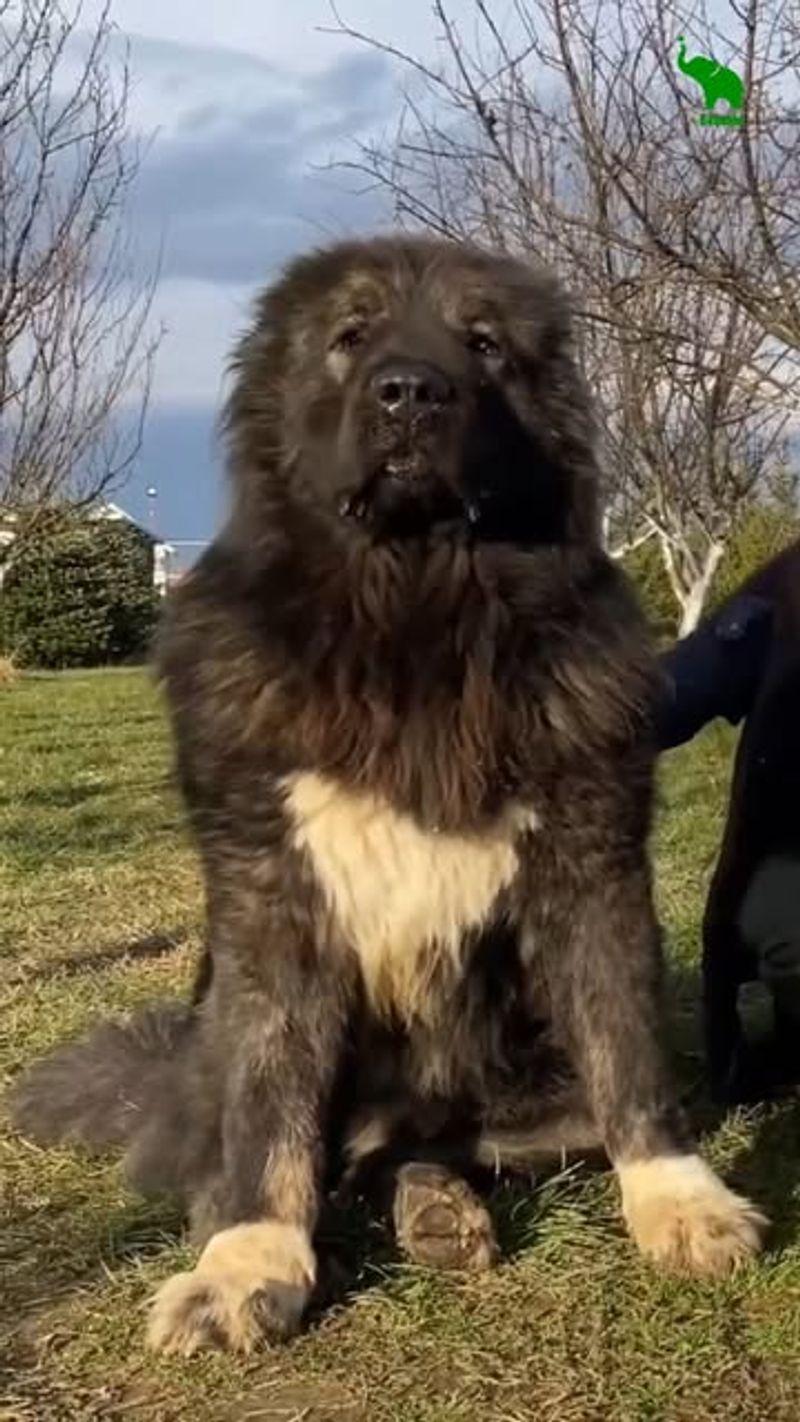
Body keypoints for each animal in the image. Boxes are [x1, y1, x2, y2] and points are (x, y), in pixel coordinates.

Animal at [9, 233, 767, 1353]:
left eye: (483, 344)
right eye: (350, 336)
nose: (410, 391)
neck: (414, 612)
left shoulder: (591, 868)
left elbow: (628, 1054)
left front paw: (681, 1204)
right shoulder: (273, 899)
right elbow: (269, 1112)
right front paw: (247, 1266)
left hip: (532, 1097)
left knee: (431, 1150)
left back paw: (442, 1210)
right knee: (312, 1159)